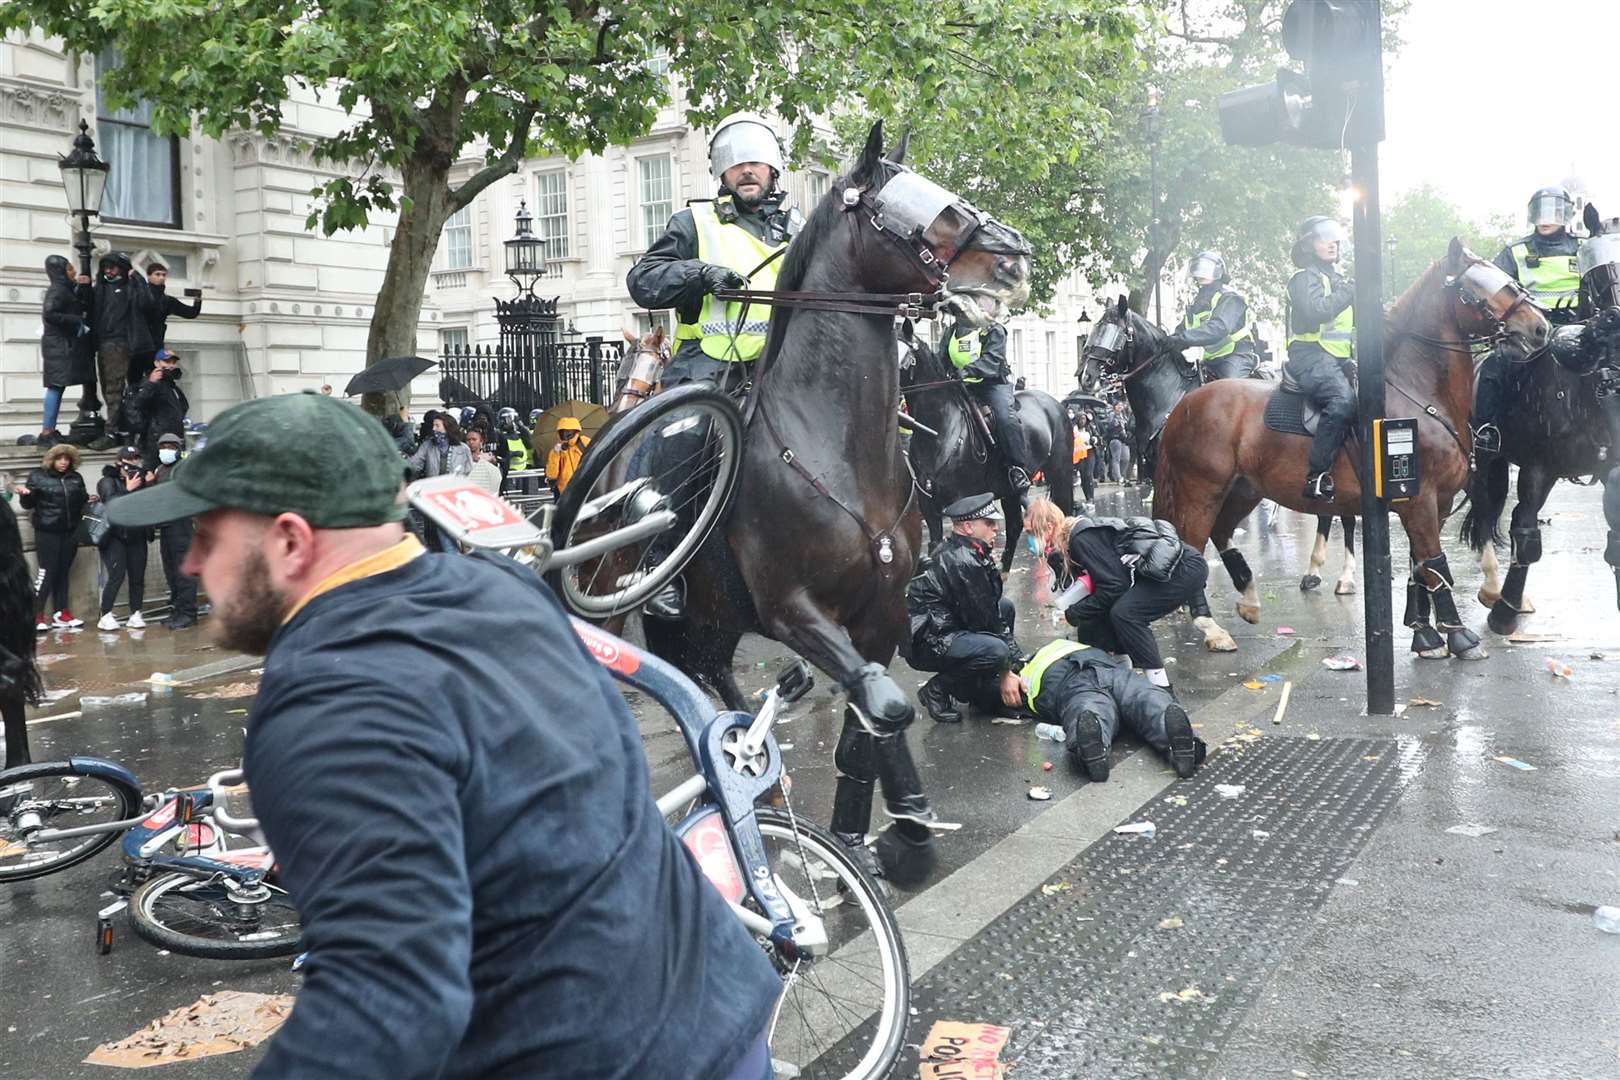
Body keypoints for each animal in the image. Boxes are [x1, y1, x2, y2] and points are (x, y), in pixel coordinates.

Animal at [638, 122, 1030, 880]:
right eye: (919, 207)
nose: (1014, 260)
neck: (833, 448)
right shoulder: (794, 610)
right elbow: (885, 703)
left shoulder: (879, 614)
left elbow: (868, 722)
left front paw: (874, 833)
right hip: (679, 621)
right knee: (694, 679)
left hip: (717, 621)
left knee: (717, 674)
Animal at [900, 325, 1075, 569]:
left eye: (905, 357)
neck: (939, 432)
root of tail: (1056, 404)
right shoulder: (928, 505)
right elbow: (936, 546)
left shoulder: (961, 499)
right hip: (1009, 490)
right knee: (1014, 527)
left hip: (1060, 475)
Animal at [1159, 238, 1548, 660]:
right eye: (1476, 287)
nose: (1539, 327)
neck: (1417, 392)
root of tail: (1183, 405)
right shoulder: (1419, 500)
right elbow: (1434, 562)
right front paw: (1459, 636)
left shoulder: (1437, 502)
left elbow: (1420, 567)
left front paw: (1425, 636)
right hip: (1201, 490)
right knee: (1192, 545)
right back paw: (1211, 627)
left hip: (1243, 490)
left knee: (1222, 532)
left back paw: (1248, 597)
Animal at [1470, 202, 1620, 634]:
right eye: (1598, 273)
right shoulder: (1538, 467)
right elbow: (1525, 535)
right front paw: (1504, 611)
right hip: (1485, 460)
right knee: (1486, 516)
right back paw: (1493, 590)